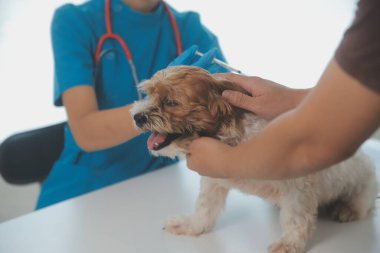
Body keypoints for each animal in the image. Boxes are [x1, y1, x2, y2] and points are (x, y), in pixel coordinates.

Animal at [130, 65, 378, 253]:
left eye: (171, 102)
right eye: (148, 94)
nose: (137, 116)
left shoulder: (298, 185)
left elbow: (296, 219)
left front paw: (289, 243)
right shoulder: (213, 181)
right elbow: (205, 208)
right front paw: (191, 226)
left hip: (362, 185)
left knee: (363, 203)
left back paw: (349, 209)